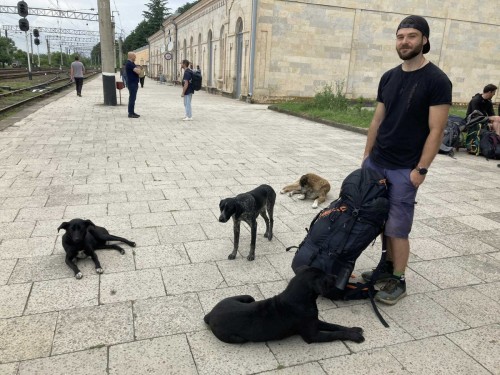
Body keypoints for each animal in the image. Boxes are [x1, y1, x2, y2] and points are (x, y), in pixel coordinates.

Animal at [203, 268, 364, 344]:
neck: (300, 299)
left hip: (248, 297)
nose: (336, 277)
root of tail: (210, 315)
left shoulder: (315, 321)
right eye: (325, 278)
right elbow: (334, 334)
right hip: (238, 338)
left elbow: (335, 326)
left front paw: (354, 329)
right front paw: (355, 336)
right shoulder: (312, 335)